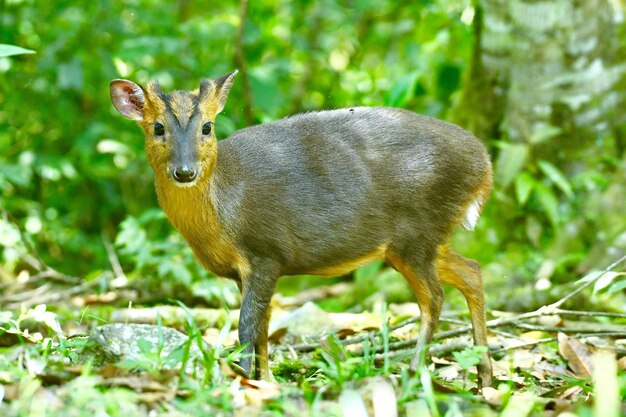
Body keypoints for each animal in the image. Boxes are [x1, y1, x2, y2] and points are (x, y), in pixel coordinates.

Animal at [111, 70, 492, 386]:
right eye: (157, 127)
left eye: (207, 126)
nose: (185, 171)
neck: (225, 210)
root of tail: (485, 165)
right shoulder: (247, 269)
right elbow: (263, 326)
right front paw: (266, 381)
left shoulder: (267, 252)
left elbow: (247, 323)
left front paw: (244, 379)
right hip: (421, 240)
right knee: (472, 271)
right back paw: (483, 375)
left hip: (416, 233)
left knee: (435, 297)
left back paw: (415, 372)